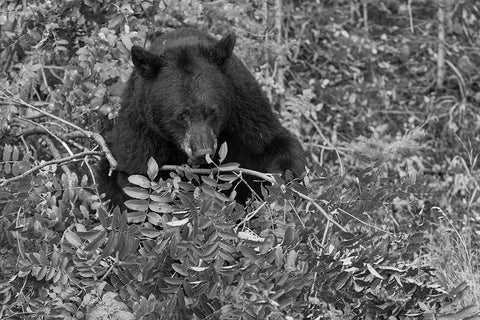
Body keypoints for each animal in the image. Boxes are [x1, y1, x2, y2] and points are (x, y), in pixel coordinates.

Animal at [97, 27, 306, 208]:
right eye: (181, 116)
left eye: (212, 111)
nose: (202, 151)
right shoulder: (142, 131)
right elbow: (137, 177)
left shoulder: (245, 108)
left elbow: (272, 144)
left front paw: (282, 181)